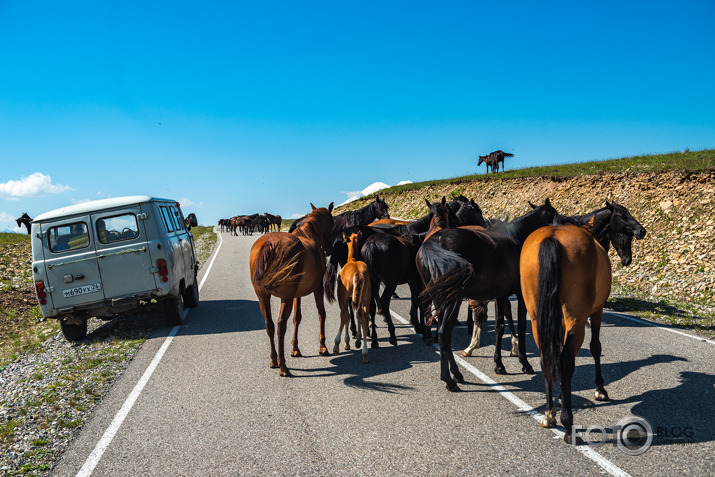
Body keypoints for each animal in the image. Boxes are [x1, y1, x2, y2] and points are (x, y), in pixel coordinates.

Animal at [250, 201, 334, 376]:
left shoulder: (297, 294)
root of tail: (270, 243)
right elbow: (321, 313)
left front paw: (295, 348)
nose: (329, 249)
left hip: (263, 296)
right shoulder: (318, 289)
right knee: (281, 325)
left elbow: (297, 318)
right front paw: (323, 346)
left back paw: (274, 360)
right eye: (333, 223)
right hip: (285, 297)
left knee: (269, 324)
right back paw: (283, 366)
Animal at [332, 229, 372, 362]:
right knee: (364, 317)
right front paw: (358, 340)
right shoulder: (357, 298)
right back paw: (365, 352)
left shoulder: (345, 297)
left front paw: (346, 342)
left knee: (344, 315)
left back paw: (336, 345)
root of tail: (358, 273)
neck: (352, 259)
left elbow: (347, 316)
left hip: (343, 296)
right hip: (366, 297)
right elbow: (358, 315)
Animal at [416, 199, 564, 388]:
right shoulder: (519, 296)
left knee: (444, 336)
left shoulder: (500, 295)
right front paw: (524, 363)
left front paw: (499, 364)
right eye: (556, 214)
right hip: (452, 300)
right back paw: (450, 379)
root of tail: (434, 242)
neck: (516, 240)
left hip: (439, 298)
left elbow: (499, 327)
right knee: (443, 334)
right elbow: (520, 327)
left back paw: (455, 374)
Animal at [520, 225, 616, 444]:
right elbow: (595, 347)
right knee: (566, 361)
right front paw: (600, 389)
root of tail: (553, 236)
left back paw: (549, 414)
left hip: (538, 318)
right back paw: (568, 424)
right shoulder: (597, 312)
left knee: (546, 359)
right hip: (577, 318)